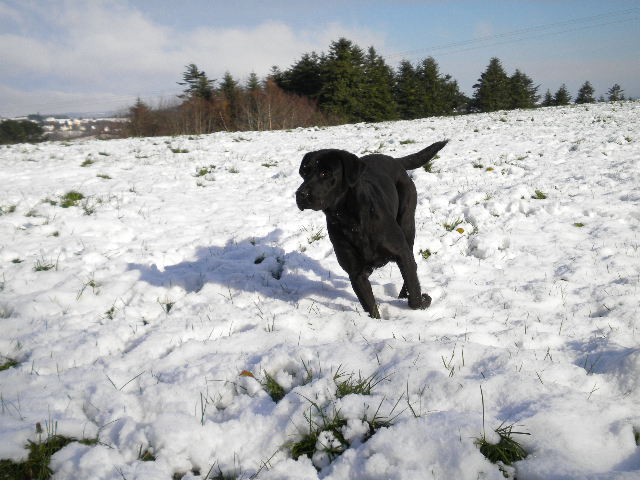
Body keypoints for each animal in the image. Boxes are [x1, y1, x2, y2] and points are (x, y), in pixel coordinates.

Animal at [298, 141, 448, 316]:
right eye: (304, 172)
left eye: (325, 173)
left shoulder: (402, 253)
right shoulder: (356, 274)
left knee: (413, 264)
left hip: (407, 224)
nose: (300, 194)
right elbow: (371, 309)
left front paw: (422, 302)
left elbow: (415, 296)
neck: (351, 221)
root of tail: (395, 160)